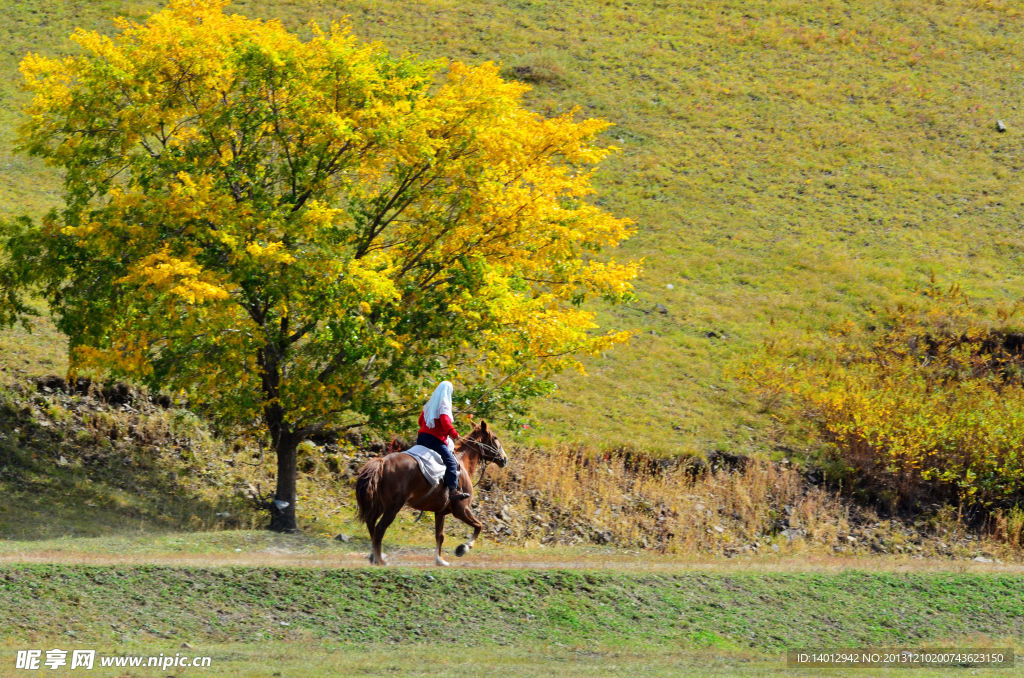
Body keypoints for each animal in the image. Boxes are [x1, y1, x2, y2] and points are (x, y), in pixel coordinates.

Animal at [356, 421, 507, 565]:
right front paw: (463, 548)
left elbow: (440, 536)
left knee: (372, 525)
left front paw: (439, 560)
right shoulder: (461, 509)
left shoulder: (440, 512)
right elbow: (479, 525)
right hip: (392, 508)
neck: (463, 462)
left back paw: (375, 556)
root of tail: (383, 461)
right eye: (495, 438)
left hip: (380, 505)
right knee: (379, 529)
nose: (504, 459)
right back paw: (380, 560)